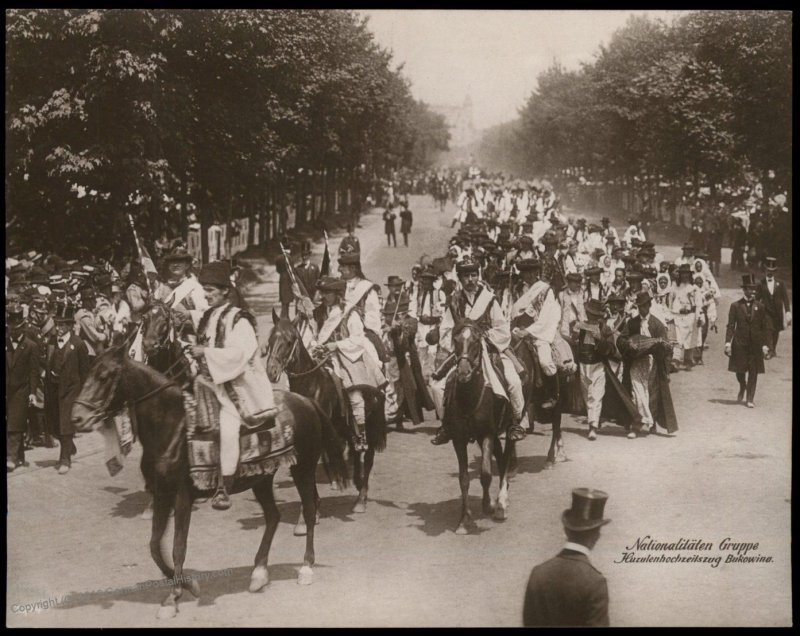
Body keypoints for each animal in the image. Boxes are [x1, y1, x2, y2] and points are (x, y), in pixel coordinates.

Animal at [72, 346, 350, 620]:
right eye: (88, 373)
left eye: (105, 376)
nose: (77, 418)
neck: (172, 426)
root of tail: (306, 401)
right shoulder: (161, 494)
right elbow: (154, 546)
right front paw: (188, 584)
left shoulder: (181, 497)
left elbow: (178, 546)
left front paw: (173, 597)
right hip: (262, 478)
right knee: (273, 516)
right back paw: (259, 573)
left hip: (303, 468)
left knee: (309, 509)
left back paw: (305, 568)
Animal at [262, 310, 388, 516]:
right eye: (271, 339)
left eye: (289, 340)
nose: (271, 372)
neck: (311, 385)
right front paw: (313, 507)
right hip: (346, 427)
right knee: (355, 451)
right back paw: (356, 481)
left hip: (370, 425)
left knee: (368, 458)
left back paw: (361, 499)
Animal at [446, 320, 516, 536]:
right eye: (456, 340)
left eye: (476, 341)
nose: (463, 372)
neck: (470, 395)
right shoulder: (459, 438)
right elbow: (464, 479)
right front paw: (463, 521)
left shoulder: (487, 434)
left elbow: (485, 473)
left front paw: (488, 505)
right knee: (500, 458)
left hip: (508, 428)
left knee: (506, 457)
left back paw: (501, 503)